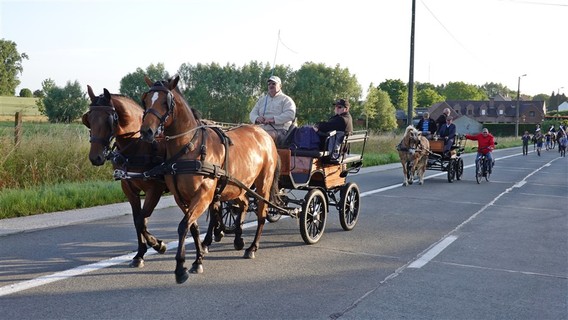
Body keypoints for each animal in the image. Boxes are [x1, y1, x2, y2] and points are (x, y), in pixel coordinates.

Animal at [81, 85, 169, 268]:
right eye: (88, 119)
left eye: (109, 120)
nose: (95, 157)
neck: (138, 146)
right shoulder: (129, 188)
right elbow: (138, 220)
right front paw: (140, 254)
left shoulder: (155, 189)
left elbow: (142, 220)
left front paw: (158, 244)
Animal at [138, 75, 280, 284]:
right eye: (146, 100)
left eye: (166, 102)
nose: (146, 132)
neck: (190, 147)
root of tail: (264, 134)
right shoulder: (181, 198)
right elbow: (193, 227)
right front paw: (198, 260)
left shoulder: (203, 195)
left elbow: (183, 226)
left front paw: (180, 268)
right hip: (237, 186)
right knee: (244, 204)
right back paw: (239, 239)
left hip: (262, 184)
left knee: (262, 213)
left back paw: (252, 247)